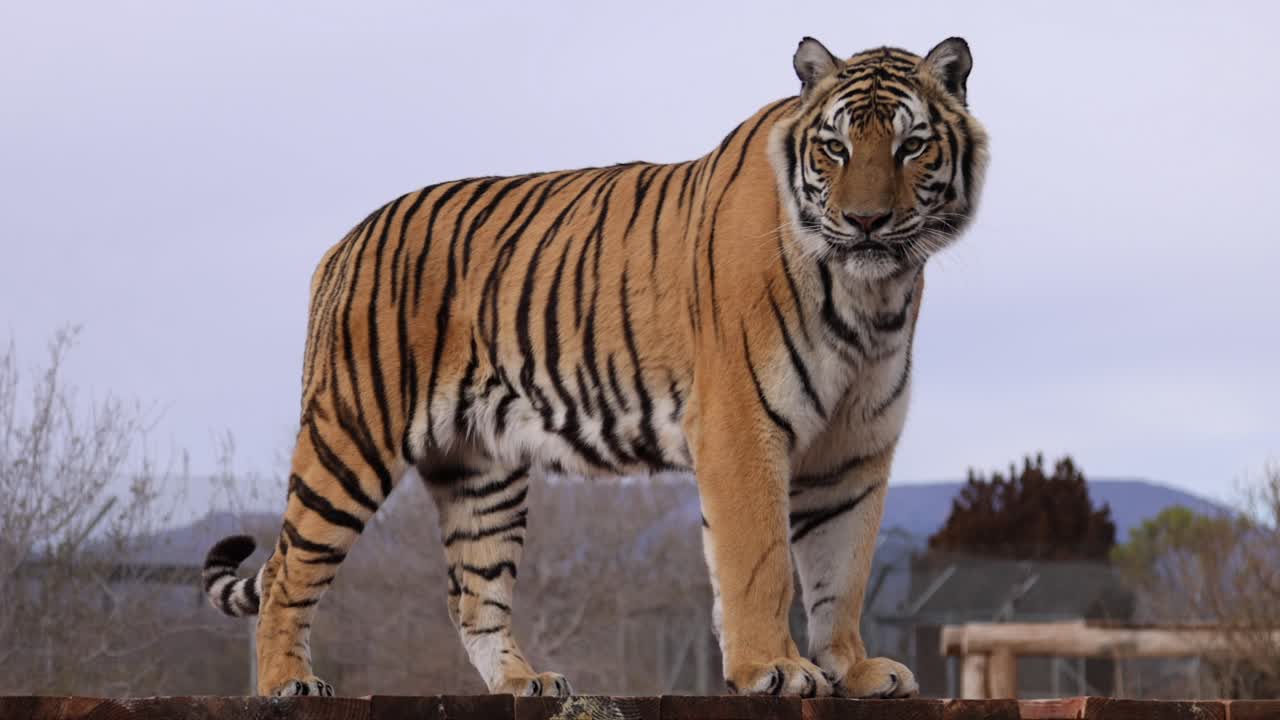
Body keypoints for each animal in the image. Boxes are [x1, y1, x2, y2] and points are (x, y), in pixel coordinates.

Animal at [202, 36, 988, 699]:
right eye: (834, 148)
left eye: (912, 146)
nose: (866, 223)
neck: (873, 295)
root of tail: (342, 242)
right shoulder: (742, 425)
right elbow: (760, 561)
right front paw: (775, 668)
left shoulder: (855, 447)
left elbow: (841, 570)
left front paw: (854, 669)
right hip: (352, 435)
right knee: (287, 568)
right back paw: (285, 683)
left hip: (482, 472)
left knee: (471, 595)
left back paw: (526, 683)